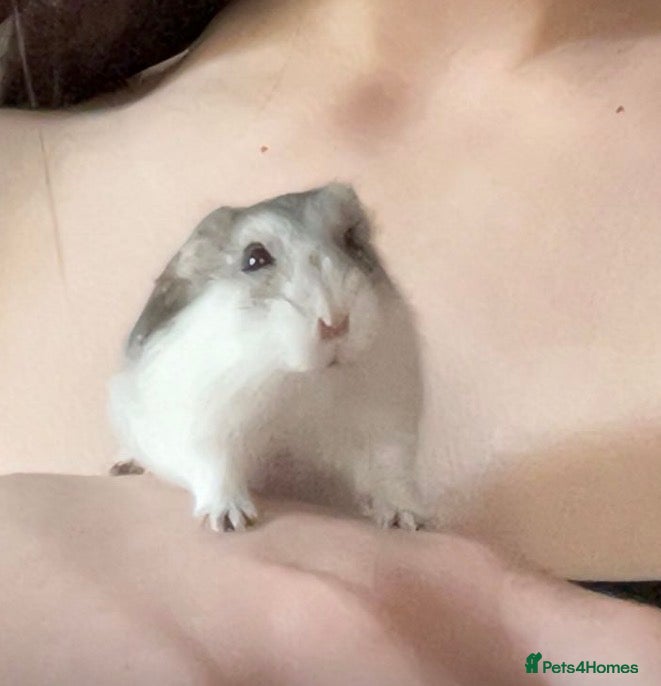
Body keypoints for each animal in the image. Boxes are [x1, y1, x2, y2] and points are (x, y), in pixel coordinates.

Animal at [109, 183, 428, 532]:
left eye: (351, 240)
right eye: (254, 258)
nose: (336, 323)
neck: (300, 377)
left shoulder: (388, 428)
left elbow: (390, 472)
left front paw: (406, 519)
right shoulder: (206, 432)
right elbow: (218, 472)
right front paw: (231, 521)